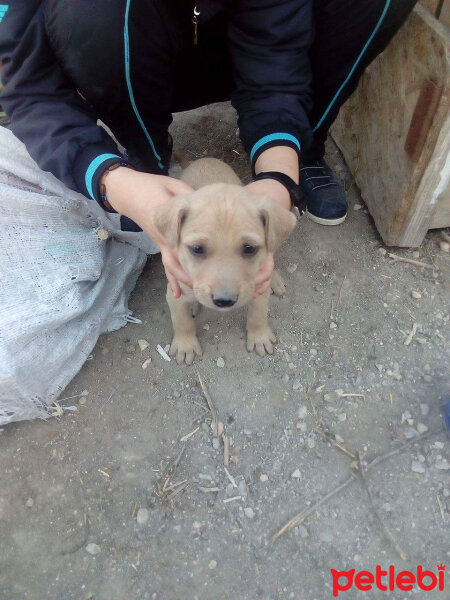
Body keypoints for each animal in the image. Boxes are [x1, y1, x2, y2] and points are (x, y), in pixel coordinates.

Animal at [153, 159, 298, 364]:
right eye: (197, 249)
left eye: (249, 248)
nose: (224, 301)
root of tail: (205, 159)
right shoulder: (175, 292)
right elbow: (182, 322)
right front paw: (185, 344)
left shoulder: (257, 288)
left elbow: (258, 314)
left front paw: (259, 336)